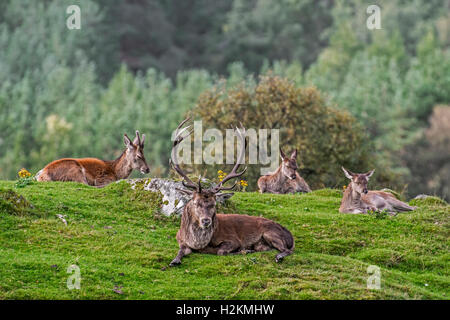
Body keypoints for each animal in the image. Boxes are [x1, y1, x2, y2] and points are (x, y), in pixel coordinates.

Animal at [169, 119, 296, 266]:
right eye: (195, 203)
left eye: (214, 204)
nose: (206, 221)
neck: (198, 244)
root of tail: (291, 237)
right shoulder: (180, 239)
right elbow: (180, 250)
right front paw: (174, 260)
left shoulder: (233, 240)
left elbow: (221, 251)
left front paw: (243, 250)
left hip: (270, 233)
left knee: (287, 250)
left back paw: (275, 255)